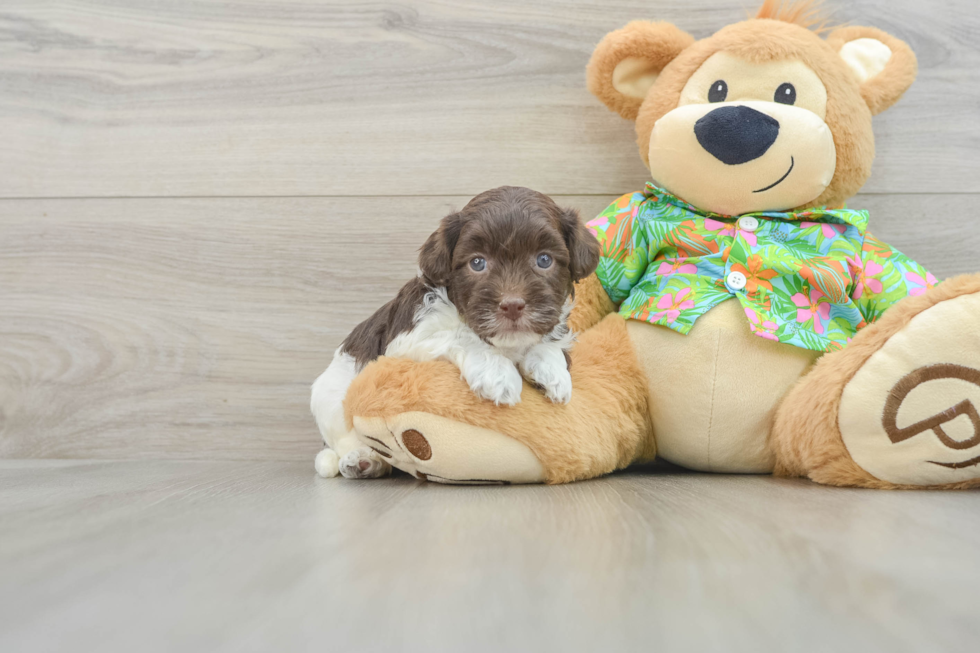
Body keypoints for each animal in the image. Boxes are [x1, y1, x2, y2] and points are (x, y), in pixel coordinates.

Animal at [308, 186, 596, 476]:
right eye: (477, 263)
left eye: (544, 259)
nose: (512, 305)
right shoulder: (406, 339)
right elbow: (460, 336)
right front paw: (498, 373)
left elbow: (551, 344)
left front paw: (552, 371)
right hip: (329, 398)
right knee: (343, 440)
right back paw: (363, 460)